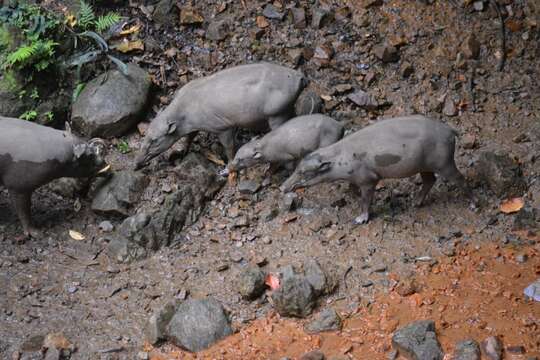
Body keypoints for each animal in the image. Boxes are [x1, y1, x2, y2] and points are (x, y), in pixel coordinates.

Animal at [134, 62, 306, 169]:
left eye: (155, 141)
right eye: (146, 135)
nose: (135, 164)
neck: (185, 110)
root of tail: (299, 77)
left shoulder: (223, 127)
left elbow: (228, 147)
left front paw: (229, 164)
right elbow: (189, 137)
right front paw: (181, 152)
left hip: (277, 113)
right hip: (287, 108)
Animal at [280, 115, 470, 224]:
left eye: (303, 172)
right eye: (297, 168)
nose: (281, 188)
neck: (341, 159)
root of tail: (451, 131)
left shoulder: (369, 179)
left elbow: (365, 201)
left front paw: (359, 219)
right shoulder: (356, 179)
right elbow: (352, 189)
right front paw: (352, 196)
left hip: (444, 162)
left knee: (461, 179)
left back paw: (472, 204)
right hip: (425, 166)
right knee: (430, 180)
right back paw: (416, 203)